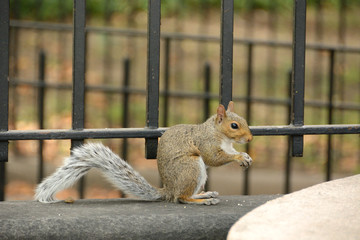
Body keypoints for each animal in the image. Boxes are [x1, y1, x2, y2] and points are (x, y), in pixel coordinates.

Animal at [35, 101, 252, 204]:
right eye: (234, 125)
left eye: (244, 120)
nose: (250, 139)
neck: (221, 136)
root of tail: (168, 189)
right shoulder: (206, 142)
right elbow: (213, 158)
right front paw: (239, 157)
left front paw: (245, 156)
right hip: (191, 167)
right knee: (180, 198)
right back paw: (199, 200)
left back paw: (203, 194)